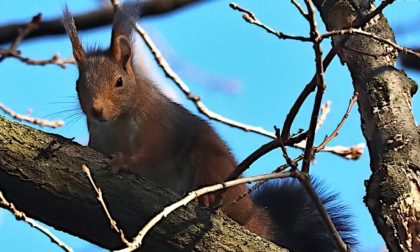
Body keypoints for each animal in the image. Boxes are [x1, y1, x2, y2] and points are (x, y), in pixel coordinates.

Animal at [62, 2, 358, 251]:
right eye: (77, 84)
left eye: (119, 82)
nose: (97, 110)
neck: (117, 123)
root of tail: (251, 214)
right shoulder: (99, 136)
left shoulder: (157, 126)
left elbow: (152, 154)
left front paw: (124, 162)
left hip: (207, 159)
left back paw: (205, 199)